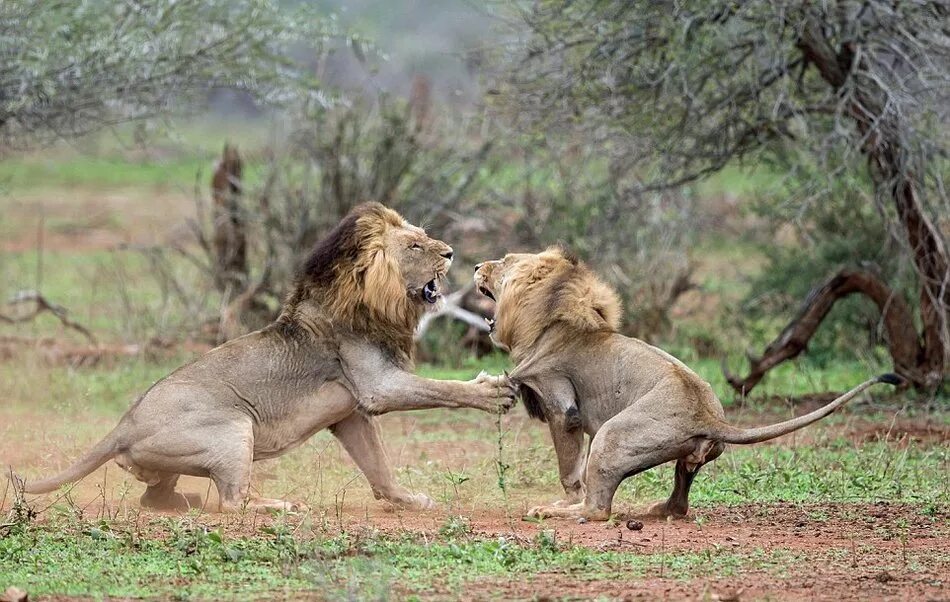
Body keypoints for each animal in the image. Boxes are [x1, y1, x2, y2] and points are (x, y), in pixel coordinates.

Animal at [18, 203, 516, 510]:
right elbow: (441, 388)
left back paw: (185, 503)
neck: (370, 302)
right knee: (232, 502)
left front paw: (410, 500)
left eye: (425, 238)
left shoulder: (350, 413)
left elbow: (379, 466)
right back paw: (280, 506)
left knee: (154, 500)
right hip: (234, 428)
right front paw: (493, 392)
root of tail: (123, 424)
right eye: (415, 246)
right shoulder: (377, 386)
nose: (450, 252)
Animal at [476, 248, 900, 520]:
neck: (548, 317)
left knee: (599, 510)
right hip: (690, 453)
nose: (477, 265)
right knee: (681, 496)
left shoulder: (561, 403)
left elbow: (569, 468)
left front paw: (561, 502)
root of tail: (710, 416)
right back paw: (661, 510)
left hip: (612, 435)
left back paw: (553, 514)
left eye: (504, 263)